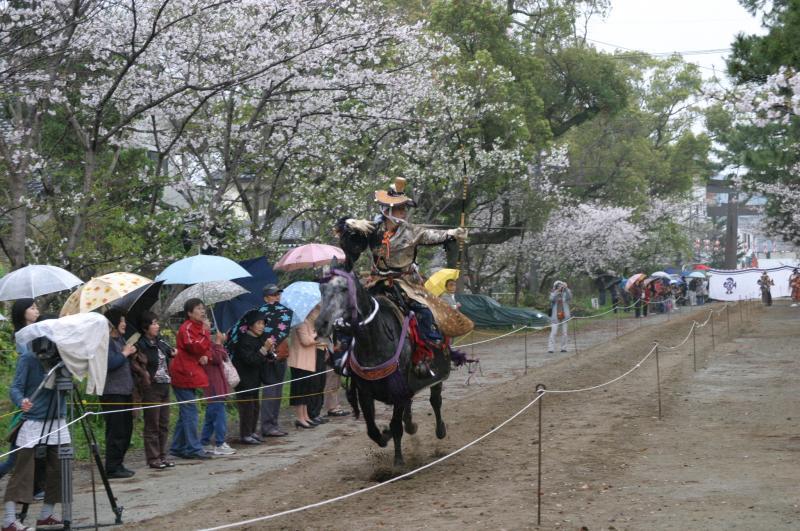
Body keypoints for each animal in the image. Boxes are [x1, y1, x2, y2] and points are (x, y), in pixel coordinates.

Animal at [314, 270, 450, 466]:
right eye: (321, 289)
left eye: (344, 288)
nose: (321, 324)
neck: (374, 340)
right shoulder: (365, 393)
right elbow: (372, 429)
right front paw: (385, 436)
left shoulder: (398, 392)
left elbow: (396, 425)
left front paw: (398, 462)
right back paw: (410, 425)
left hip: (435, 378)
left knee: (435, 401)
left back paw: (440, 430)